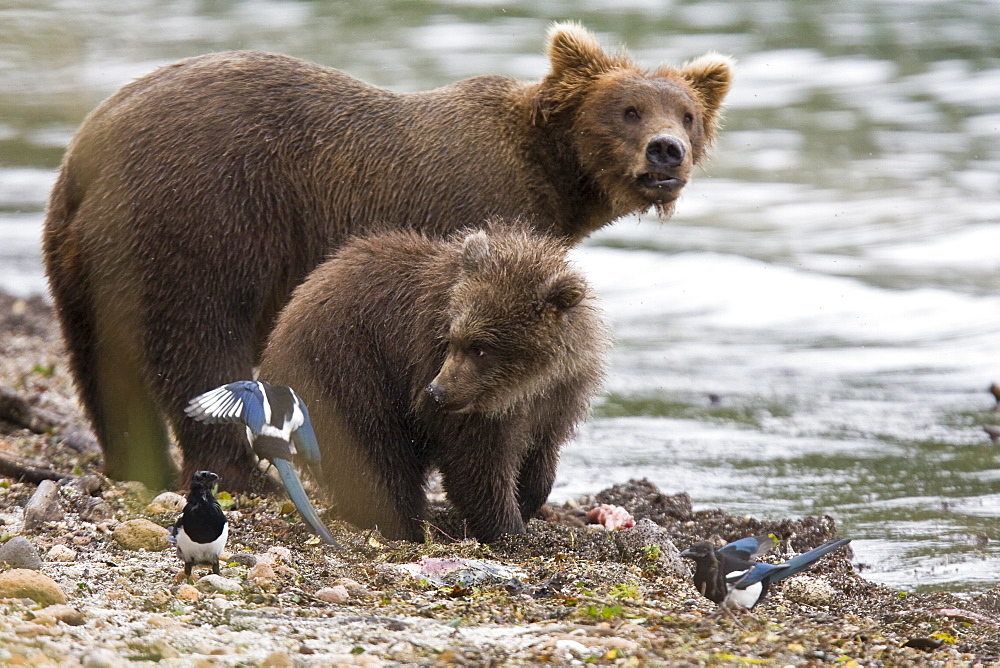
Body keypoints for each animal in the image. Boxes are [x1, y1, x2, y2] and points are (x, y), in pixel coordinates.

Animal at [43, 22, 732, 490]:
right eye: (628, 110)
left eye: (687, 114)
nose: (666, 152)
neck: (554, 183)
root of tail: (90, 147)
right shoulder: (476, 207)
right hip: (203, 215)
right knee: (199, 342)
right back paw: (242, 471)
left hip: (82, 256)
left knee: (101, 364)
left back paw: (138, 464)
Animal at [260, 224, 608, 544]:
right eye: (454, 339)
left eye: (480, 348)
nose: (437, 392)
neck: (525, 385)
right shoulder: (444, 374)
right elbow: (475, 462)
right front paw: (507, 528)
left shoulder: (558, 397)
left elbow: (541, 456)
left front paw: (526, 501)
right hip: (349, 368)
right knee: (376, 452)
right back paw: (403, 523)